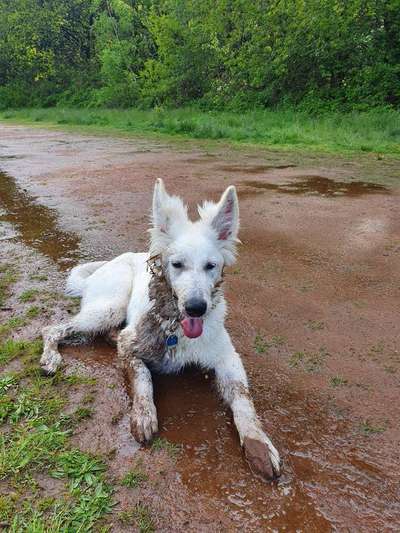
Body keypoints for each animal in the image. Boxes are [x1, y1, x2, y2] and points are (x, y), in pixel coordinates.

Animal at [39, 179, 280, 478]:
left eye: (210, 266)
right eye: (177, 264)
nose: (196, 308)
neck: (176, 329)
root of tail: (110, 263)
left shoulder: (228, 358)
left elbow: (243, 399)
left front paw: (259, 444)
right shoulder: (131, 345)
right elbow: (143, 378)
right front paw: (144, 415)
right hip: (110, 307)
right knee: (51, 329)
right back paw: (50, 358)